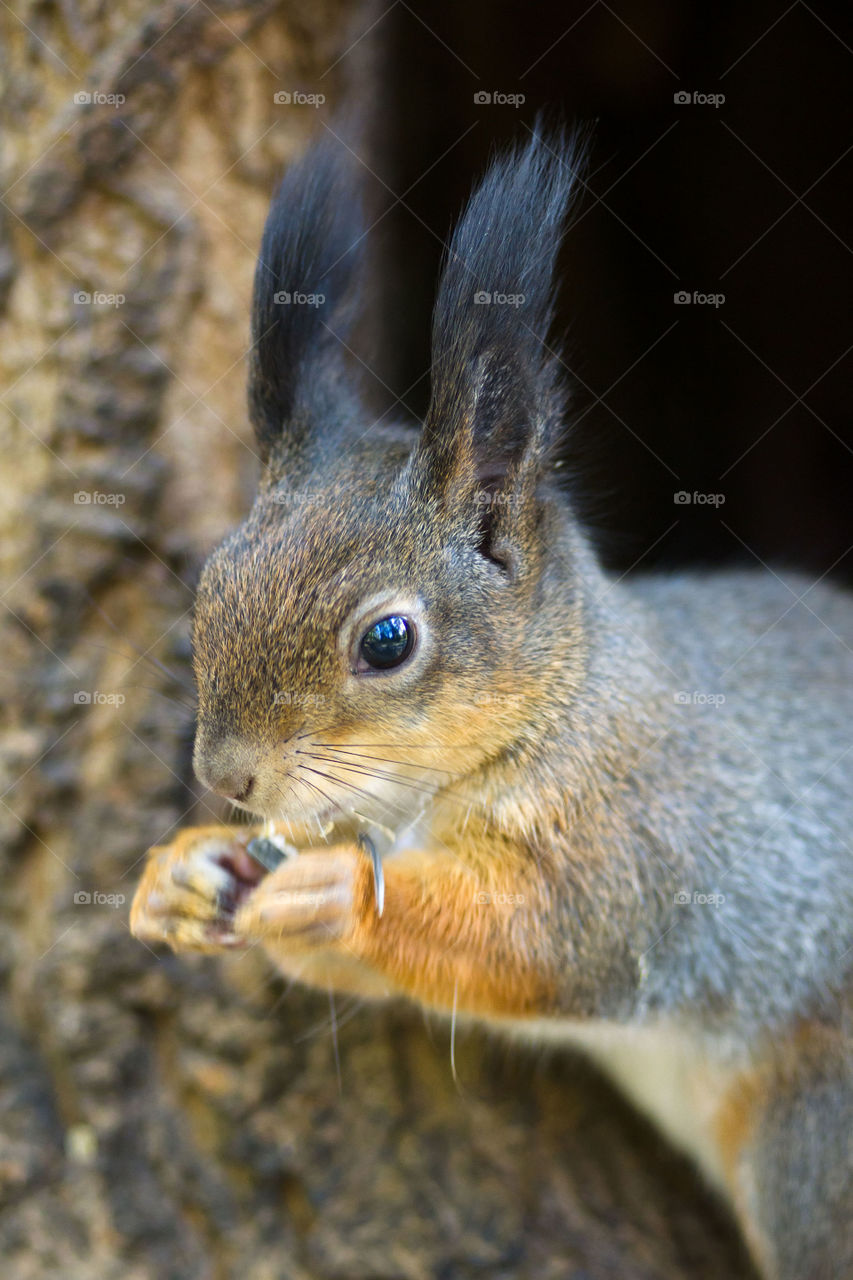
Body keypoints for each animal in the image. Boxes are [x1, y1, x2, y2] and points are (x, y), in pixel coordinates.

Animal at [131, 128, 853, 1279]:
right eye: (211, 581)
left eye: (387, 641)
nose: (225, 775)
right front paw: (181, 876)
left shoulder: (641, 844)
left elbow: (539, 937)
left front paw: (342, 894)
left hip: (815, 1139)